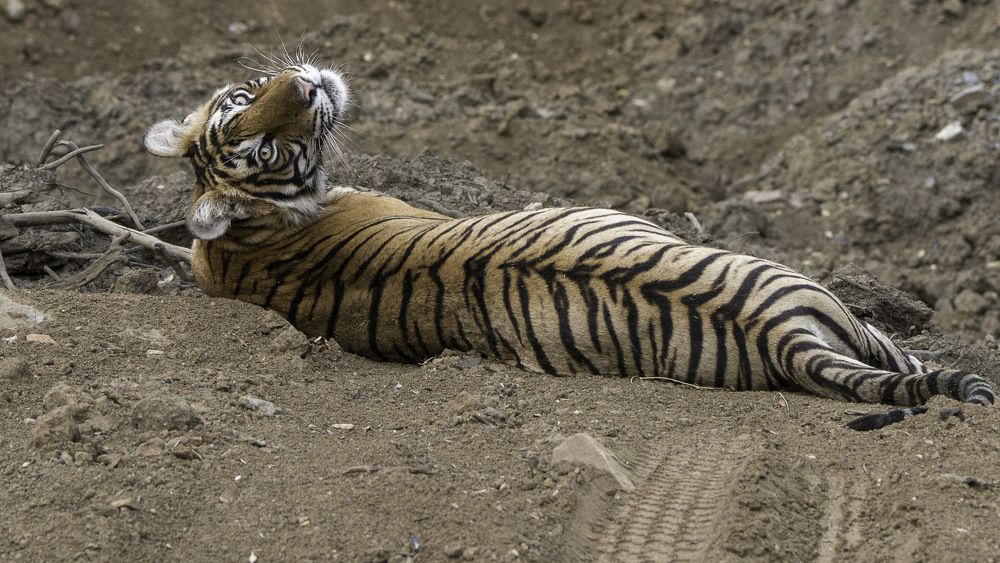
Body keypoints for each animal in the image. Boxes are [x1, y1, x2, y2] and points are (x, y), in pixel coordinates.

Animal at [143, 60, 995, 431]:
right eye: (265, 144)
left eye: (248, 106)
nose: (309, 86)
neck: (248, 237)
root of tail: (781, 336)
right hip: (831, 303)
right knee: (916, 360)